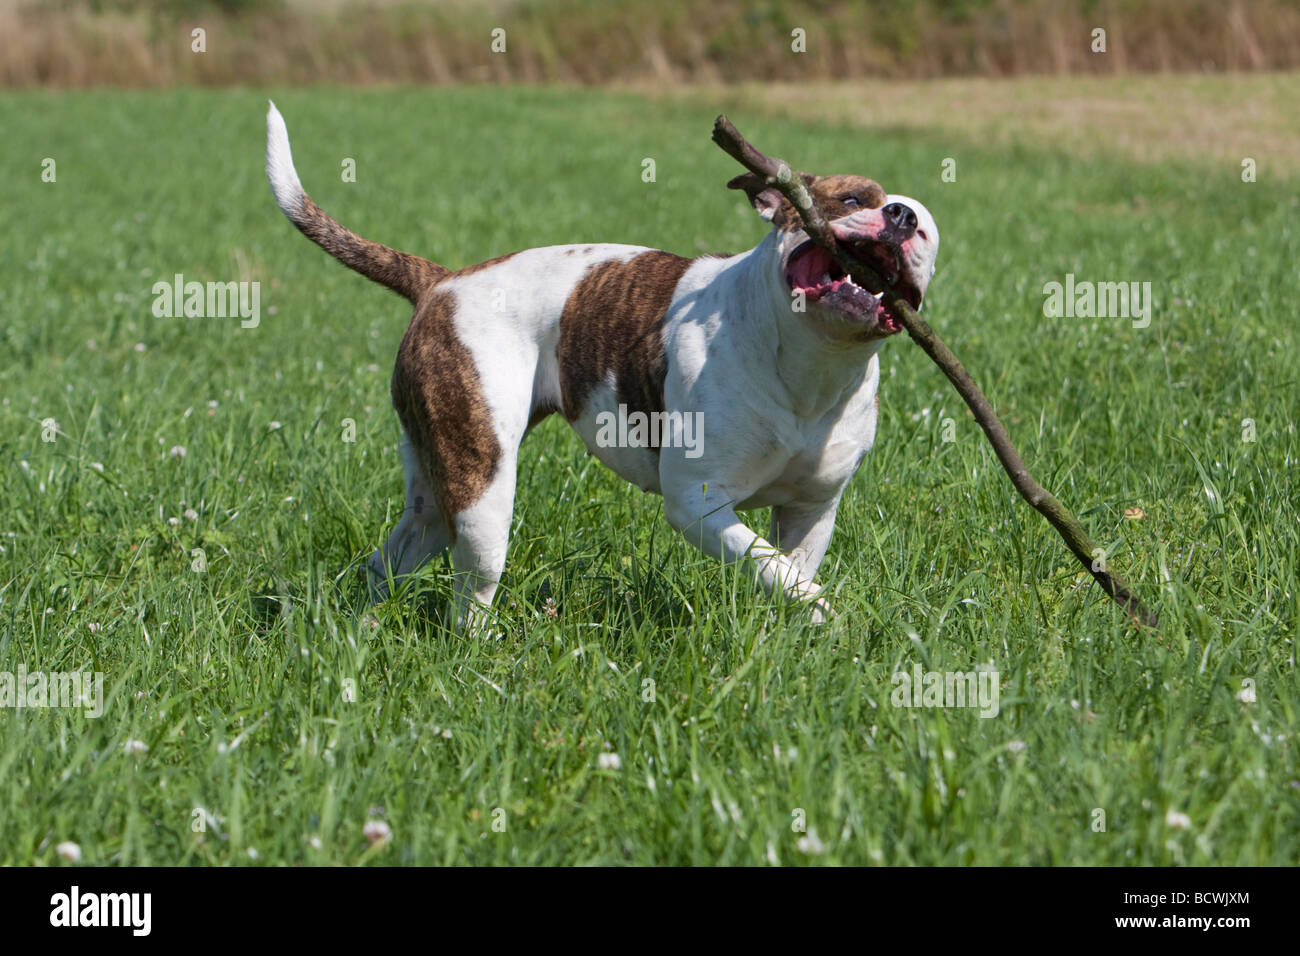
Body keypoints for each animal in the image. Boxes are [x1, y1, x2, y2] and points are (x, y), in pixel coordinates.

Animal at [263, 104, 941, 632]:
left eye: (929, 235)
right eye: (851, 199)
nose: (903, 218)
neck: (812, 361)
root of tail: (443, 281)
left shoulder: (811, 511)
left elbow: (788, 574)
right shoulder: (698, 504)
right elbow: (777, 571)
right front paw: (833, 619)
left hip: (435, 491)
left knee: (390, 558)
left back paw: (363, 626)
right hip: (481, 487)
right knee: (471, 592)